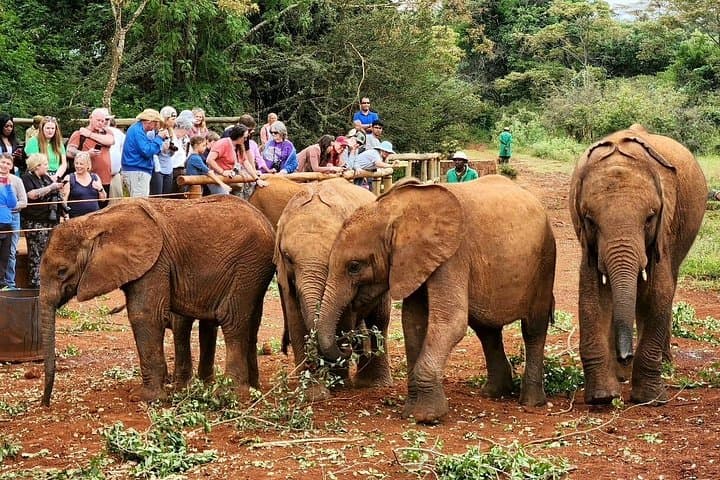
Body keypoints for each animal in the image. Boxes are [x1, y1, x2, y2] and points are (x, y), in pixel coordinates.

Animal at [40, 196, 276, 406]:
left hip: (248, 265)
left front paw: (145, 398)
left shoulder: (155, 263)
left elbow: (145, 315)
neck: (97, 221)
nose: (45, 403)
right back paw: (250, 390)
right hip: (252, 272)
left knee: (232, 320)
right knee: (248, 323)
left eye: (62, 271)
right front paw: (171, 391)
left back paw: (230, 397)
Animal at [274, 178, 392, 398]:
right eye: (287, 257)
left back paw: (373, 383)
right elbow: (296, 320)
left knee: (379, 319)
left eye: (331, 256)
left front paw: (338, 385)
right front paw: (313, 394)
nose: (348, 347)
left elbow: (344, 318)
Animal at [316, 176, 557, 423]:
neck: (395, 211)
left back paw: (531, 402)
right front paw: (410, 413)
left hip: (546, 260)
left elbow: (451, 321)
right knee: (486, 330)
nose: (349, 345)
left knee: (533, 329)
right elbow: (412, 322)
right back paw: (494, 393)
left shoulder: (452, 256)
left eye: (354, 266)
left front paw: (427, 417)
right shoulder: (415, 262)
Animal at [569, 124, 707, 405]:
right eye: (590, 221)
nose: (626, 356)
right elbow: (590, 294)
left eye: (650, 218)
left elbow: (658, 293)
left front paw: (650, 399)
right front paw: (603, 396)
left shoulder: (665, 229)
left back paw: (664, 363)